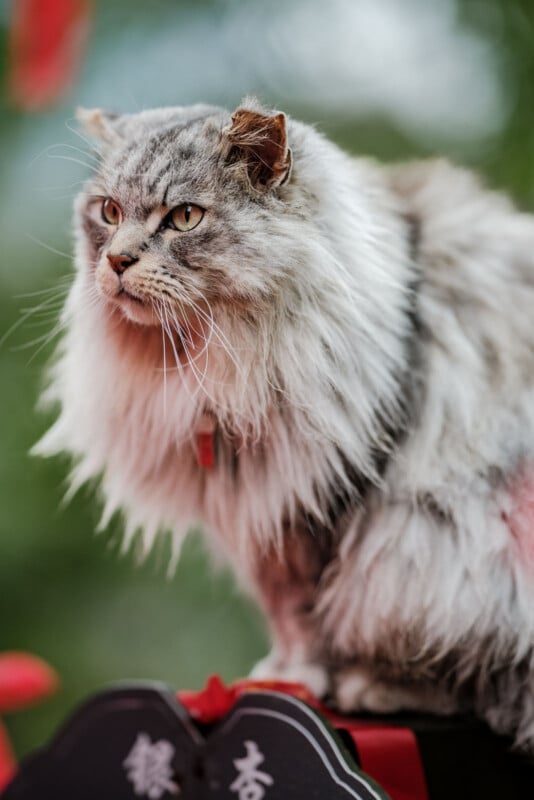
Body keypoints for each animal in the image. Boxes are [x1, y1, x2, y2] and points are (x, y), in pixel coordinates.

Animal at [36, 98, 534, 752]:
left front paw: (303, 680)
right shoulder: (265, 512)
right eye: (109, 212)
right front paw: (279, 673)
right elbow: (288, 613)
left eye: (185, 217)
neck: (211, 367)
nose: (117, 260)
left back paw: (379, 687)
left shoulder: (325, 505)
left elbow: (311, 615)